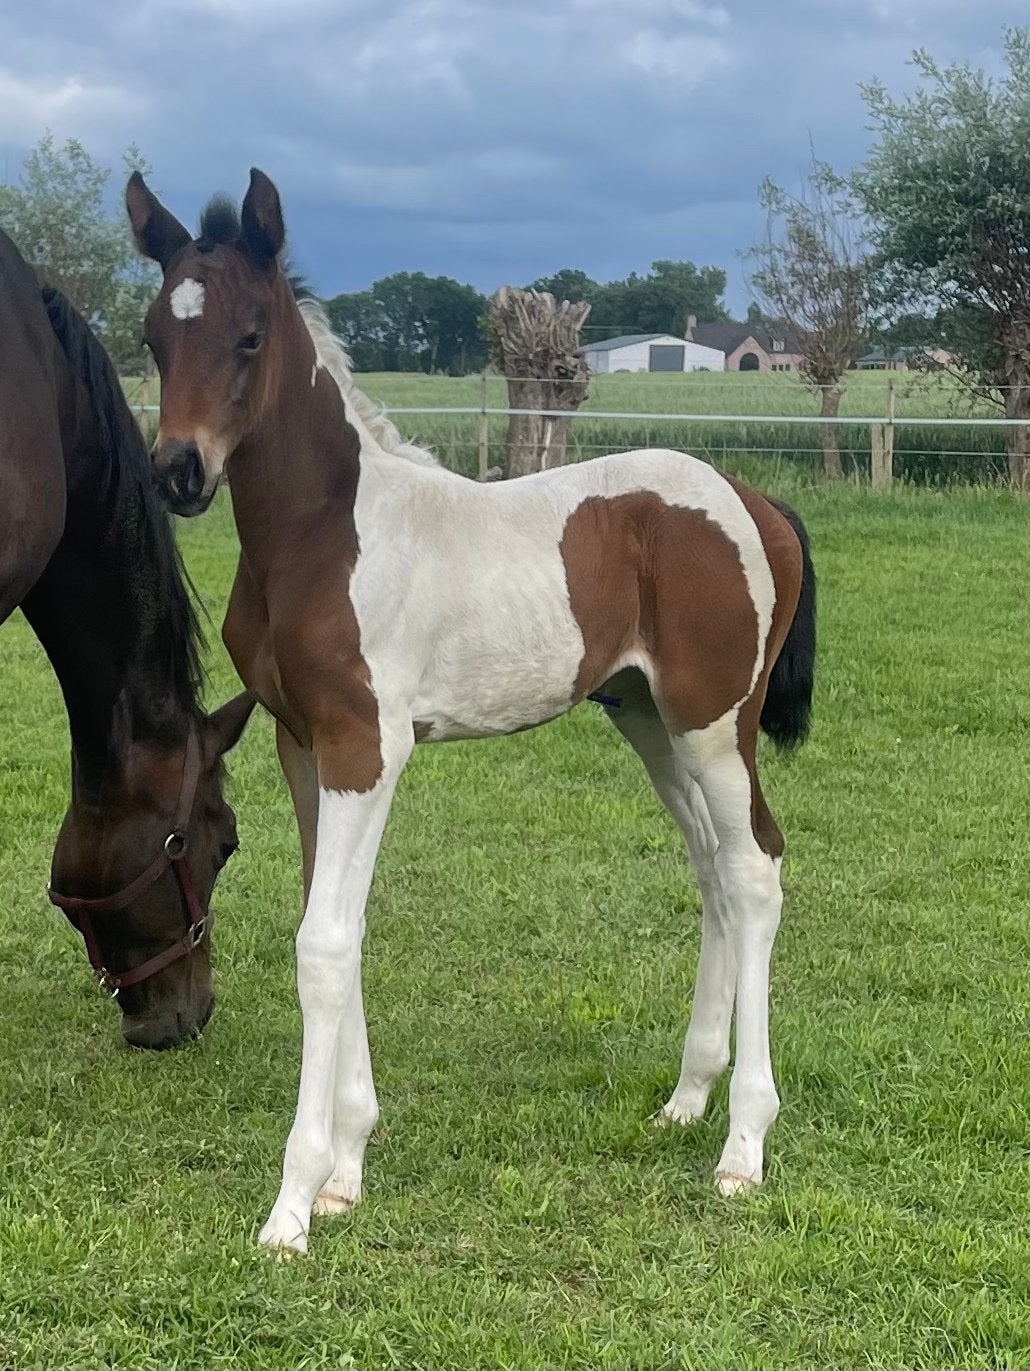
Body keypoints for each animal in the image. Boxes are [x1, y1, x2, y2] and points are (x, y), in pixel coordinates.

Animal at [128, 168, 816, 1252]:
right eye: (155, 335)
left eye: (247, 335)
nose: (179, 472)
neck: (323, 535)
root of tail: (753, 501)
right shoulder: (302, 743)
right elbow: (338, 922)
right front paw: (346, 1171)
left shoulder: (366, 747)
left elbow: (323, 944)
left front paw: (292, 1207)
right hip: (648, 722)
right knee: (712, 868)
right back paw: (687, 1098)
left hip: (716, 726)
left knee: (754, 873)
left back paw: (741, 1146)